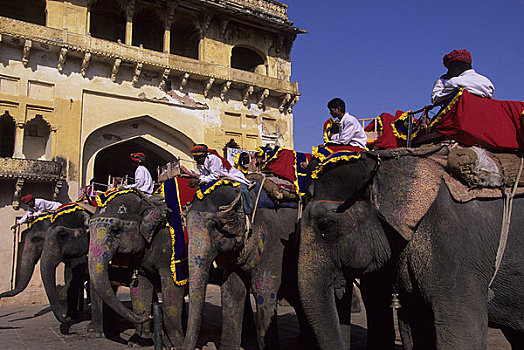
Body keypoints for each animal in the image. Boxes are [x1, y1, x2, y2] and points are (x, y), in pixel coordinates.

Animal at [89, 191, 187, 350]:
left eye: (116, 231)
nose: (148, 314)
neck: (148, 203)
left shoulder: (171, 252)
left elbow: (172, 291)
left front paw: (177, 345)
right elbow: (140, 289)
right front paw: (138, 342)